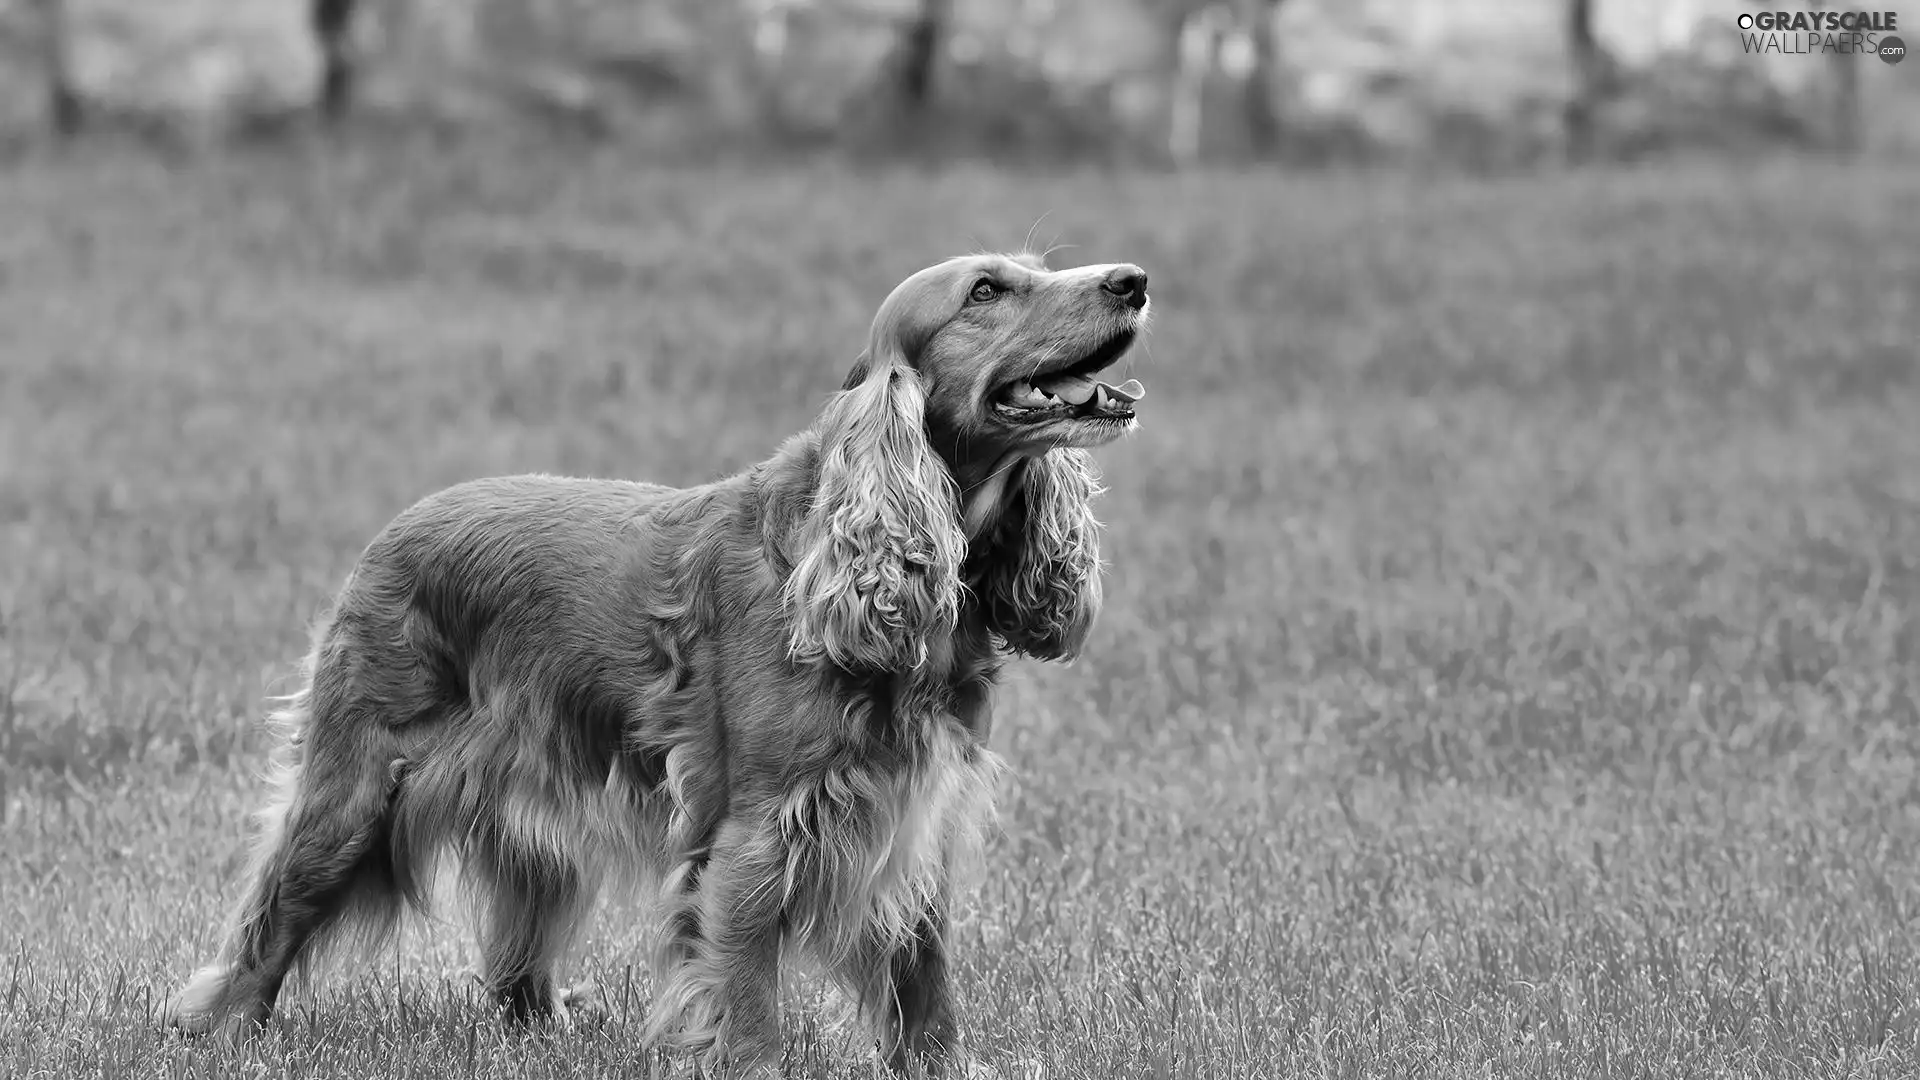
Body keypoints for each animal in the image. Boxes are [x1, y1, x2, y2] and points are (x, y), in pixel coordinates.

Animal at [165, 247, 1144, 1068]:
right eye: (985, 292)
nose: (1131, 279)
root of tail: (395, 528)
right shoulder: (755, 834)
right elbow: (746, 993)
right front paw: (752, 1066)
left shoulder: (917, 816)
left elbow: (926, 983)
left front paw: (941, 1066)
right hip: (358, 790)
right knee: (267, 923)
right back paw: (220, 1031)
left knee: (514, 963)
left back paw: (551, 1024)